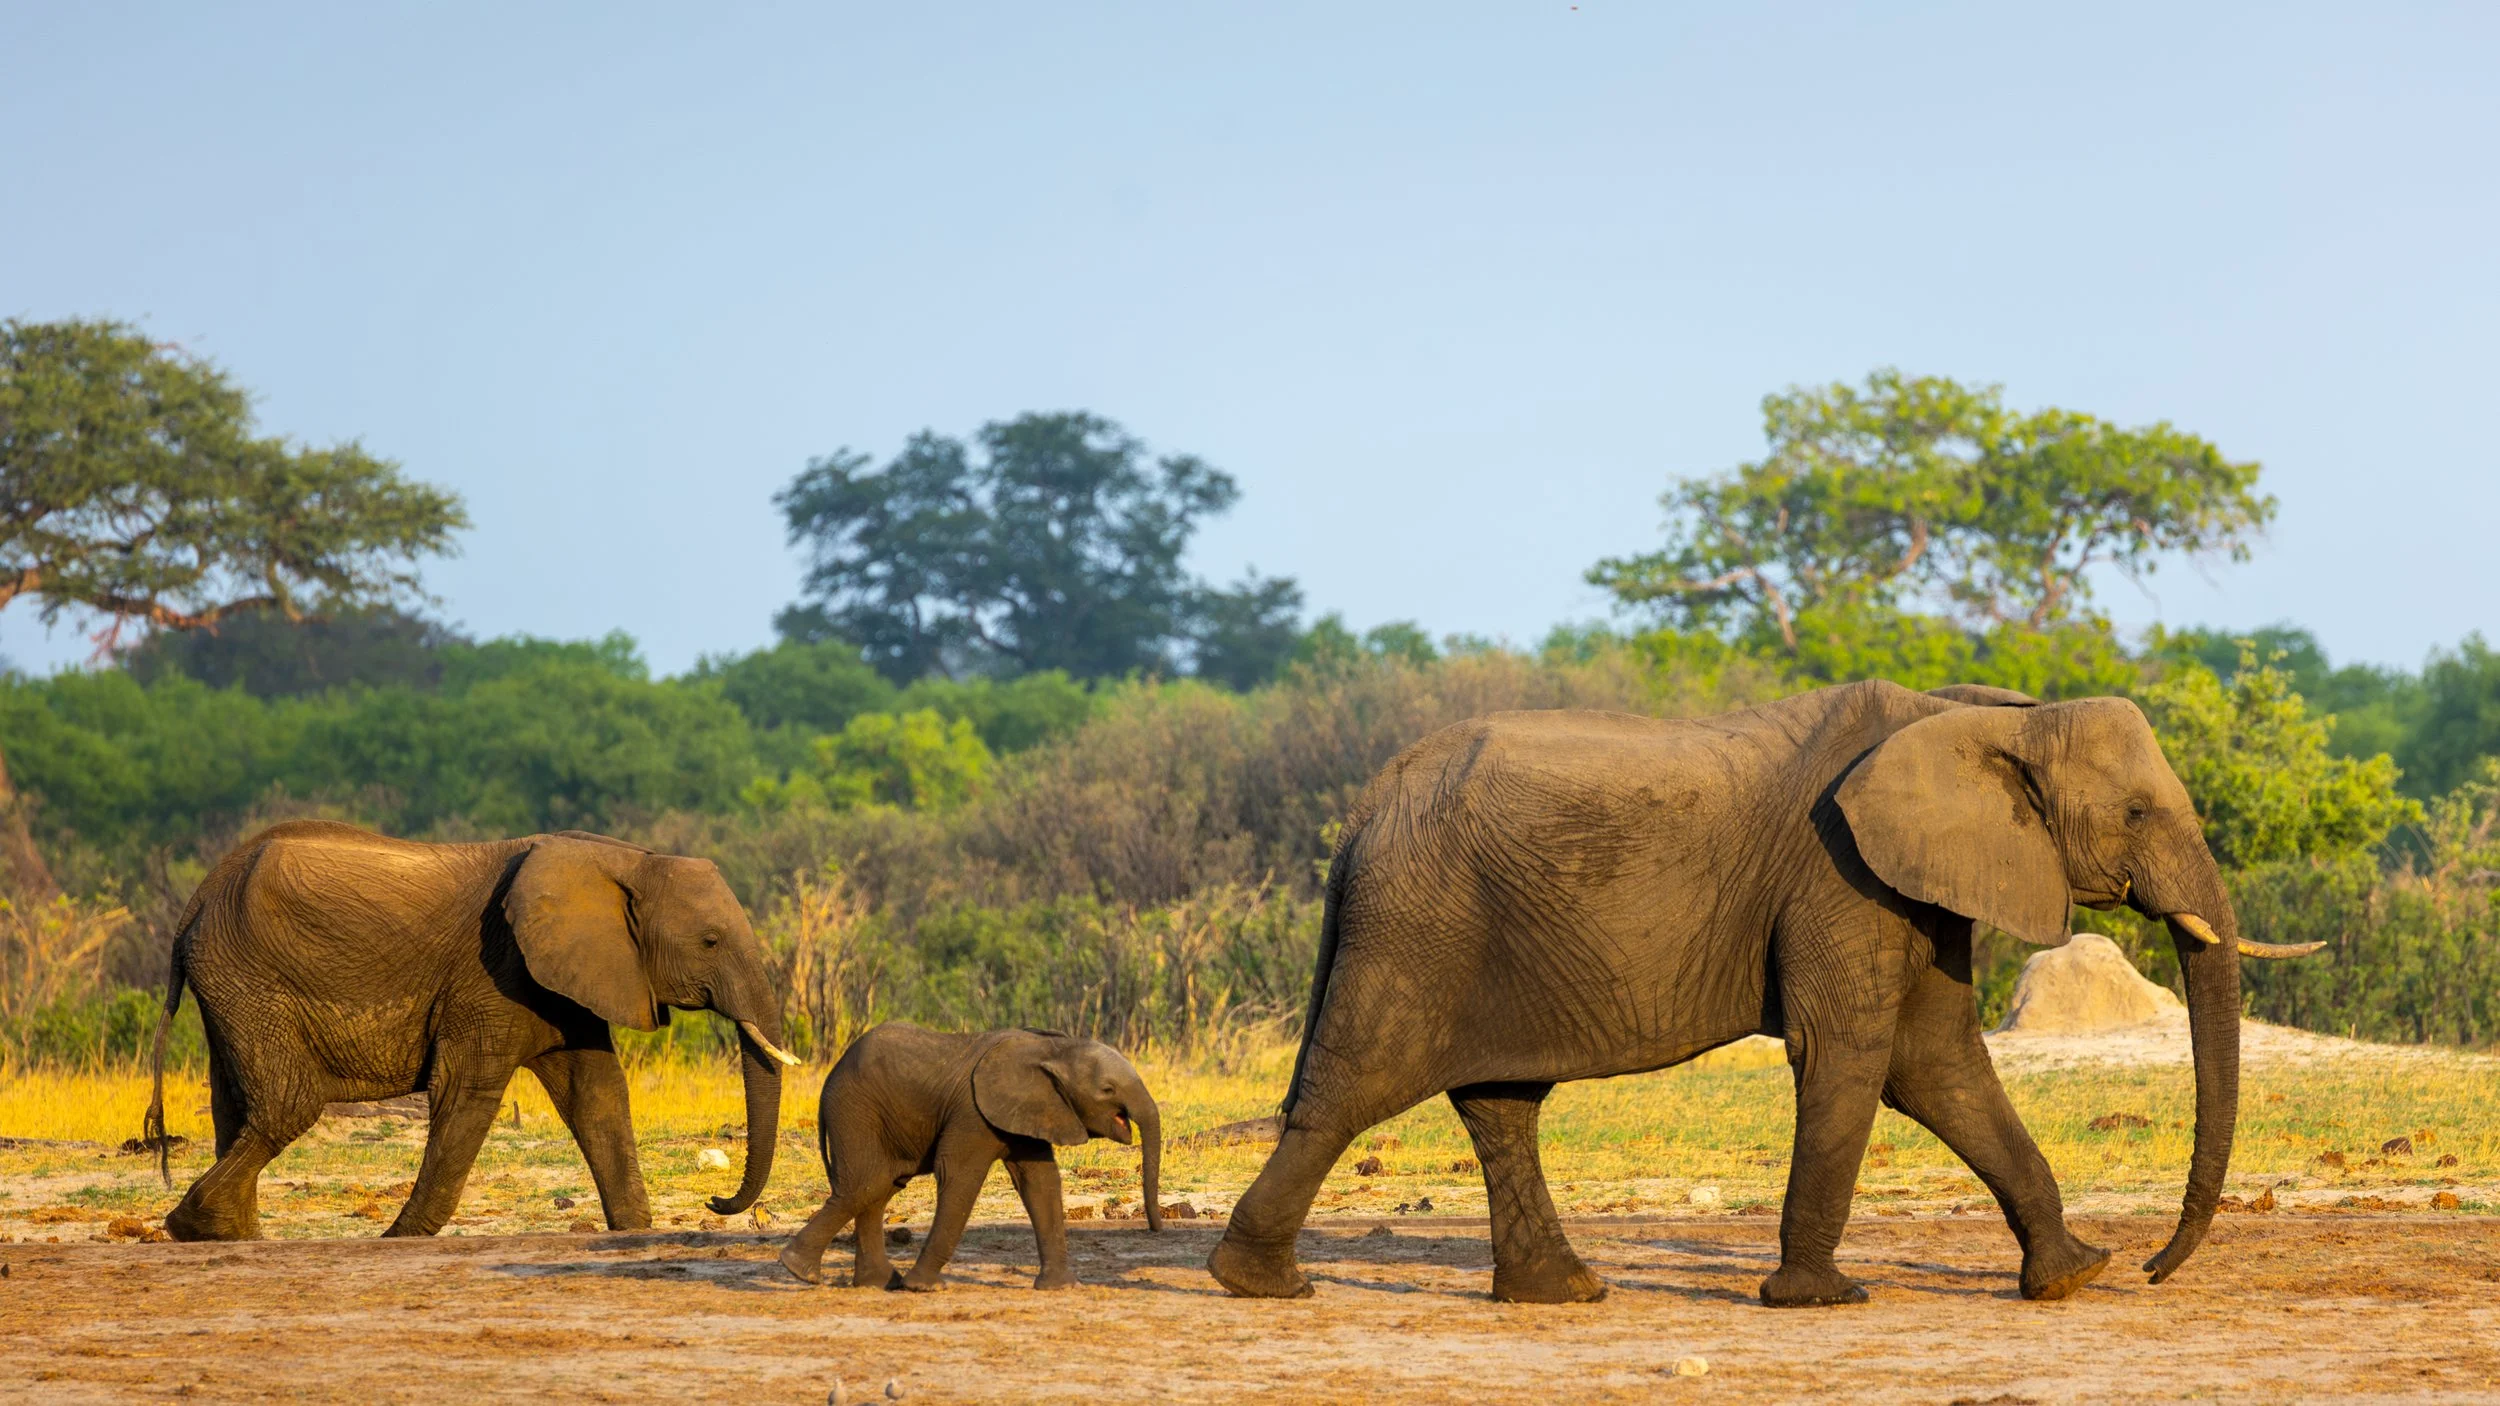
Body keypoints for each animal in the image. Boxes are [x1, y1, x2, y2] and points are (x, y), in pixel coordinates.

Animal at [141, 820, 799, 1241]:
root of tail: (196, 901)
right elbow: (468, 1091)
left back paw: (230, 1234)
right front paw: (399, 1239)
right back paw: (194, 1224)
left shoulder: (562, 971)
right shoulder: (492, 969)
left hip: (229, 982)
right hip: (247, 976)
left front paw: (633, 1233)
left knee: (234, 1104)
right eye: (709, 941)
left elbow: (598, 1093)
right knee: (288, 1103)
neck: (629, 860)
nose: (717, 1200)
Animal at [777, 1022, 1163, 1291]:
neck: (1051, 1048)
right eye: (1107, 1090)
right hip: (855, 1112)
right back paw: (800, 1271)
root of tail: (832, 1074)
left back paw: (878, 1283)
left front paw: (1062, 1288)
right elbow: (960, 1176)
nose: (1156, 1228)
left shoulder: (1032, 1110)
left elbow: (1041, 1183)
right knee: (867, 1184)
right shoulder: (973, 1113)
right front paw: (925, 1288)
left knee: (880, 1188)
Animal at [1206, 680, 2320, 1307]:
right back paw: (1259, 1284)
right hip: (1418, 919)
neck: (1989, 714)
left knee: (1500, 1103)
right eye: (2134, 812)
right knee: (1354, 1089)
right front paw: (1824, 1299)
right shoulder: (1842, 873)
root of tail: (1363, 809)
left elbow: (1938, 1064)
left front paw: (2073, 1275)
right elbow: (1856, 1056)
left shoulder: (1908, 881)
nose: (2155, 1267)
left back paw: (1562, 1294)